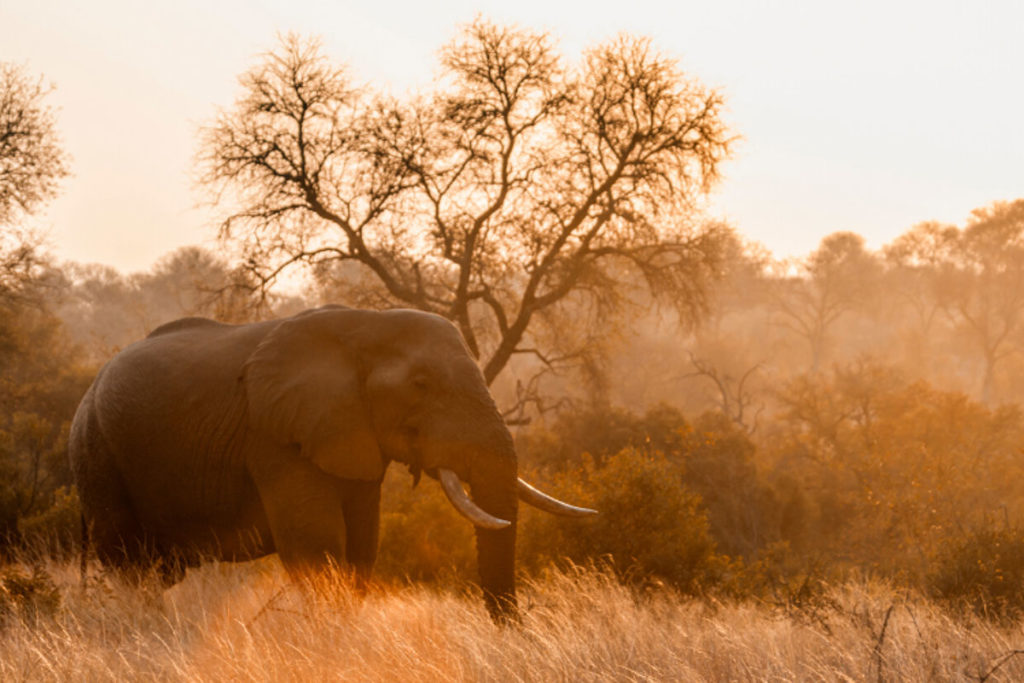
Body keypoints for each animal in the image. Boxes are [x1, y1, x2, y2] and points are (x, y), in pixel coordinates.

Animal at [68, 305, 598, 618]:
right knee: (129, 565)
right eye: (421, 385)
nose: (517, 627)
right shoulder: (276, 437)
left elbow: (362, 546)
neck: (365, 324)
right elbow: (317, 548)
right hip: (96, 454)